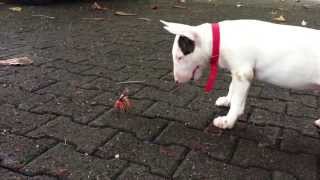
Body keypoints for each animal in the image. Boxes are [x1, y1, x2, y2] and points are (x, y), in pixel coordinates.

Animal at [161, 19, 320, 129]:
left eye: (179, 57)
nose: (176, 81)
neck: (218, 39)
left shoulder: (243, 74)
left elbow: (237, 101)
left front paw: (227, 121)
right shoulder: (238, 72)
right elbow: (233, 89)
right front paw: (227, 101)